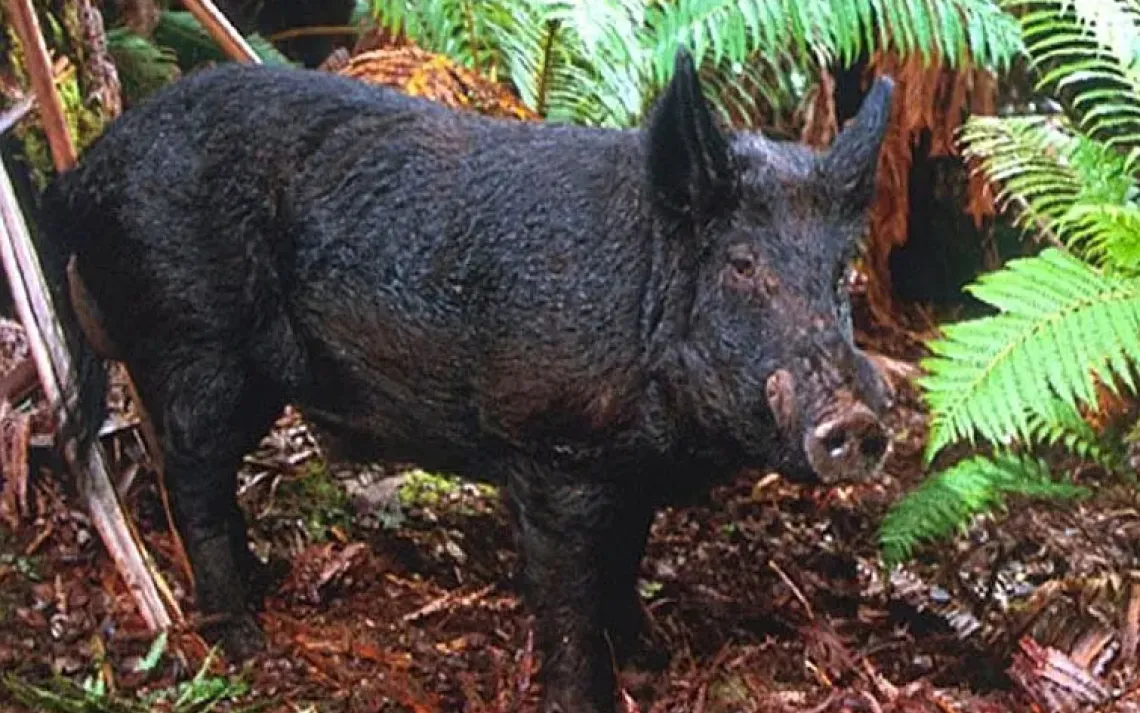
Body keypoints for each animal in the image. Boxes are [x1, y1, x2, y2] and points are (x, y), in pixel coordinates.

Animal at [39, 48, 894, 713]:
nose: (857, 420)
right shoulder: (554, 451)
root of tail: (83, 171)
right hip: (194, 340)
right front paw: (588, 693)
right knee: (191, 472)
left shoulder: (629, 469)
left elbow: (626, 558)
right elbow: (570, 596)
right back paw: (245, 640)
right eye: (742, 264)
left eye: (838, 275)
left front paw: (649, 659)